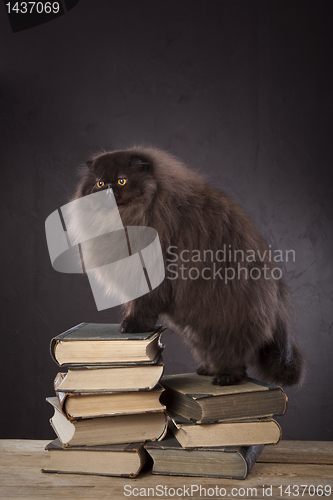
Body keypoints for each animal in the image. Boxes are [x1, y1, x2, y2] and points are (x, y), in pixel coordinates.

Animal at [72, 146, 304, 386]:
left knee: (236, 356)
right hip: (197, 329)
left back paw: (225, 377)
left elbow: (142, 306)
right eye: (99, 183)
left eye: (121, 180)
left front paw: (131, 326)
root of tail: (277, 294)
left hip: (227, 319)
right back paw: (208, 370)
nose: (107, 189)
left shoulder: (150, 276)